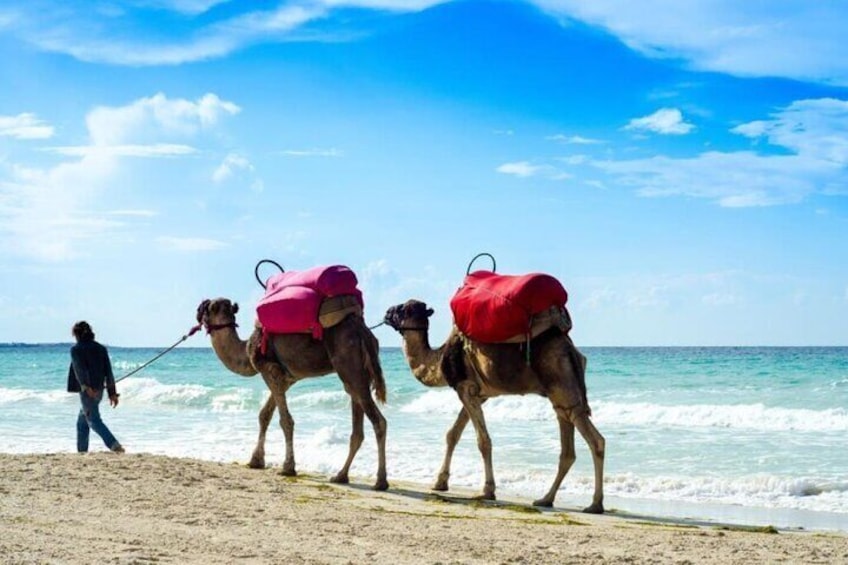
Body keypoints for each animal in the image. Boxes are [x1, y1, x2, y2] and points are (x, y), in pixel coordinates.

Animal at [197, 300, 390, 490]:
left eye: (207, 307)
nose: (198, 313)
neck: (245, 350)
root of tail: (363, 332)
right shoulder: (287, 378)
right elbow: (264, 415)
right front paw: (256, 461)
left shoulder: (269, 369)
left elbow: (285, 420)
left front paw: (288, 467)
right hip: (358, 372)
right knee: (357, 426)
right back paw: (341, 475)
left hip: (350, 364)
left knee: (378, 421)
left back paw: (380, 481)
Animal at [384, 300, 604, 512]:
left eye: (403, 309)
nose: (387, 313)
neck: (438, 360)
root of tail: (571, 350)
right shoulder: (477, 394)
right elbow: (453, 434)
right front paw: (440, 483)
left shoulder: (465, 388)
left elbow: (483, 440)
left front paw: (487, 491)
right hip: (559, 394)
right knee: (567, 445)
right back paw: (546, 499)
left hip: (561, 384)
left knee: (594, 439)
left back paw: (595, 504)